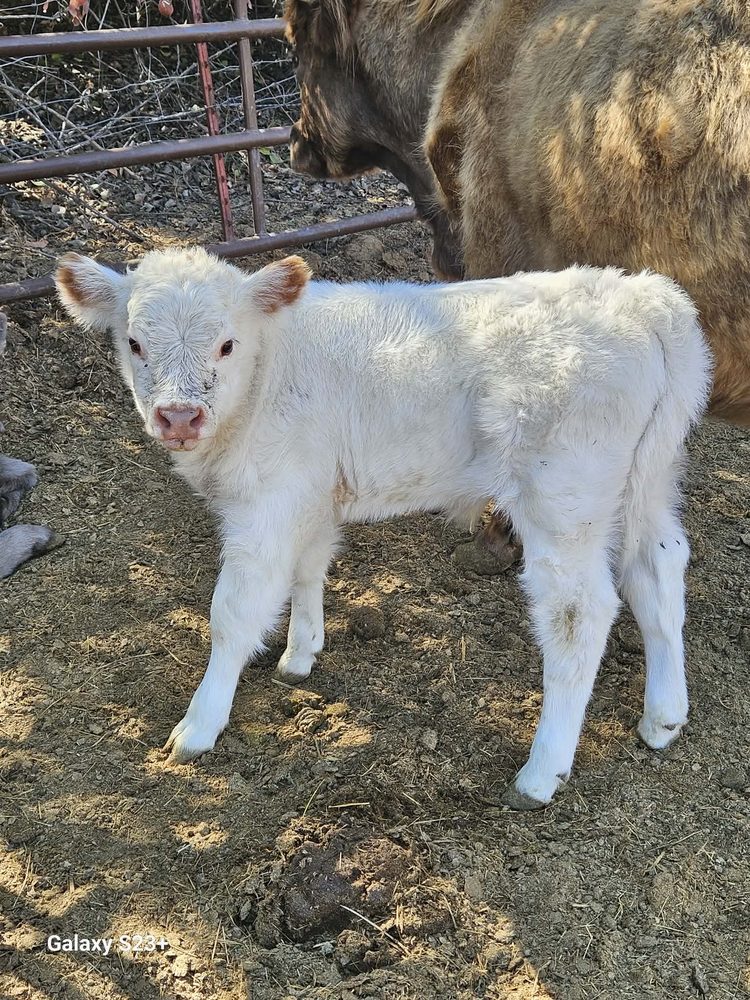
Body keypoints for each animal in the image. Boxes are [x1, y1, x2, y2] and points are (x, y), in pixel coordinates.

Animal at [55, 247, 710, 808]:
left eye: (226, 344)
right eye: (134, 342)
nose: (178, 416)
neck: (273, 362)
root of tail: (643, 296)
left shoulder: (266, 504)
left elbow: (233, 614)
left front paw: (197, 726)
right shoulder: (312, 492)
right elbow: (309, 567)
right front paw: (301, 652)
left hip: (566, 497)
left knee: (580, 613)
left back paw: (541, 772)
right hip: (648, 479)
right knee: (659, 565)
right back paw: (664, 716)